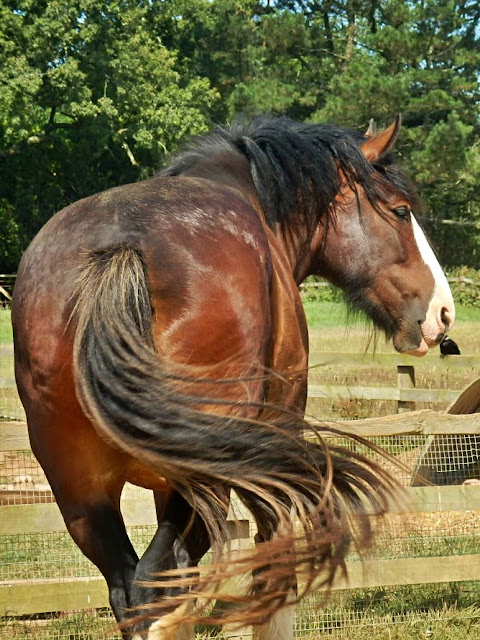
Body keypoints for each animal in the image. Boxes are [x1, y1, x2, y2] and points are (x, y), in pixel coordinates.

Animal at [11, 116, 454, 640]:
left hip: (82, 492)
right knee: (159, 587)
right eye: (401, 211)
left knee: (134, 590)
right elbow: (273, 574)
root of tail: (117, 250)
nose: (443, 312)